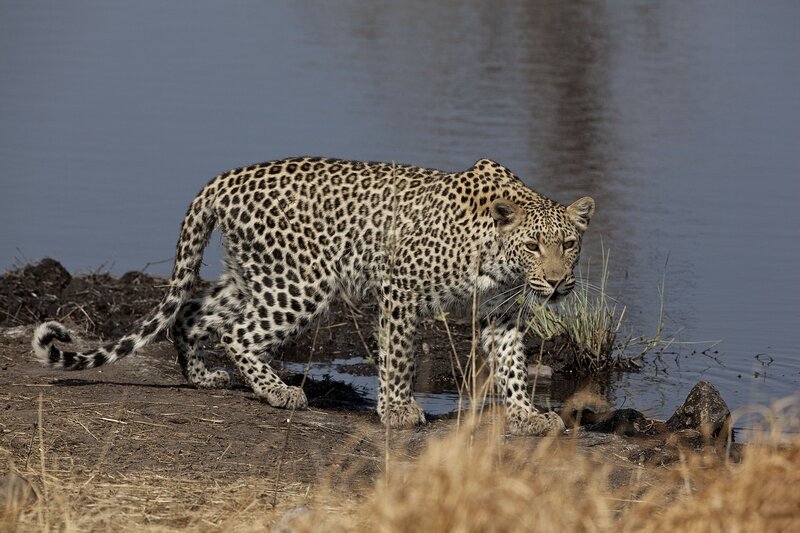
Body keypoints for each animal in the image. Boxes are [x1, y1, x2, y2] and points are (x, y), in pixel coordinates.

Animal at [32, 157, 595, 436]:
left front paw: (527, 416)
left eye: (569, 245)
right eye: (533, 245)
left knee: (192, 312)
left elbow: (514, 367)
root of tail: (222, 180)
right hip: (302, 283)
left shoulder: (503, 314)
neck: (498, 258)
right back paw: (278, 392)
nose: (558, 281)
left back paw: (204, 377)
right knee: (237, 331)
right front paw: (396, 410)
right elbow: (398, 356)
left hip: (256, 275)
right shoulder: (400, 289)